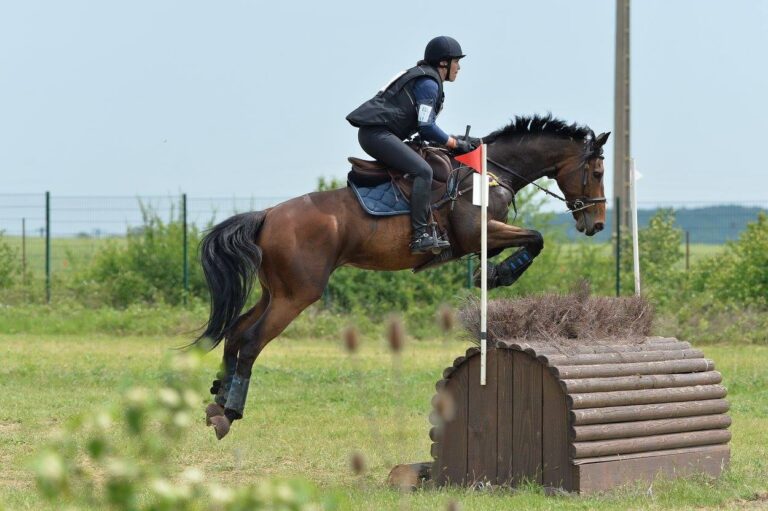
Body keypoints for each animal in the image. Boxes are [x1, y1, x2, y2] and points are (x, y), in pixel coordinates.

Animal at [195, 116, 608, 440]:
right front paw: (497, 274)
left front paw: (491, 271)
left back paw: (217, 401)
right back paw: (229, 414)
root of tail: (266, 215)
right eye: (598, 173)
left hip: (275, 292)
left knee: (235, 333)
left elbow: (526, 241)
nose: (597, 224)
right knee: (251, 341)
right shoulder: (481, 231)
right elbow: (535, 238)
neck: (492, 171)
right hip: (296, 295)